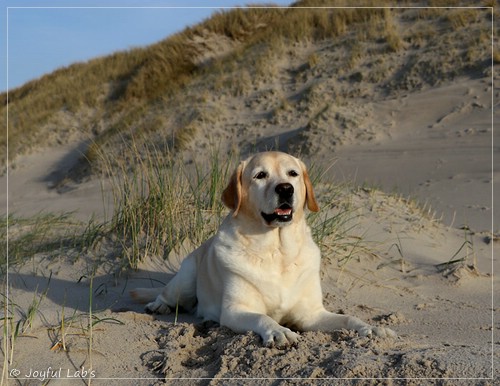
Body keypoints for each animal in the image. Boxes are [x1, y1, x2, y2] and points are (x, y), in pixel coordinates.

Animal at [131, 151, 396, 346]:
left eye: (293, 173)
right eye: (260, 175)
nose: (286, 188)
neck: (277, 251)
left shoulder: (311, 314)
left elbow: (348, 318)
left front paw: (370, 328)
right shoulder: (236, 310)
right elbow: (262, 317)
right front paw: (279, 331)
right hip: (186, 276)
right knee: (168, 294)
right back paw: (158, 305)